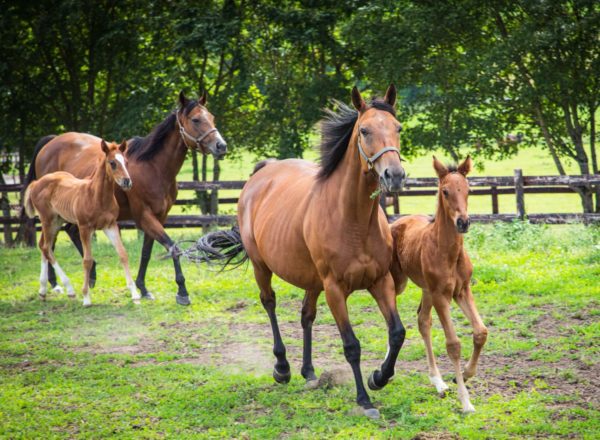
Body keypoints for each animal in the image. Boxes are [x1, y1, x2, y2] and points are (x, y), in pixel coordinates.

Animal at [24, 141, 138, 306]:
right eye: (112, 163)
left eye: (126, 162)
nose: (127, 182)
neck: (97, 196)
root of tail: (36, 183)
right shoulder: (84, 227)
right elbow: (87, 260)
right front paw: (86, 297)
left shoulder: (110, 226)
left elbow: (122, 254)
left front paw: (135, 294)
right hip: (47, 220)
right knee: (46, 247)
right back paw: (70, 290)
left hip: (57, 221)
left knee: (43, 246)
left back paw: (43, 290)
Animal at [206, 84, 408, 418]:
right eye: (364, 130)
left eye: (398, 128)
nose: (395, 175)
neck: (353, 220)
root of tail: (263, 172)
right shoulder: (335, 288)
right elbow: (351, 345)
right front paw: (364, 400)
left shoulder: (381, 281)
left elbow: (397, 333)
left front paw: (378, 377)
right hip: (263, 267)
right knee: (270, 303)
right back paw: (283, 368)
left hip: (312, 280)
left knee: (306, 316)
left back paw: (309, 371)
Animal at [392, 156, 490, 412]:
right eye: (445, 191)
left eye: (468, 190)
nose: (463, 222)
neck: (448, 252)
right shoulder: (441, 296)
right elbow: (453, 344)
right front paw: (466, 401)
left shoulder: (462, 291)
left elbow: (480, 332)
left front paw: (463, 375)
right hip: (399, 283)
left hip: (426, 290)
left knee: (423, 321)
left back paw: (438, 381)